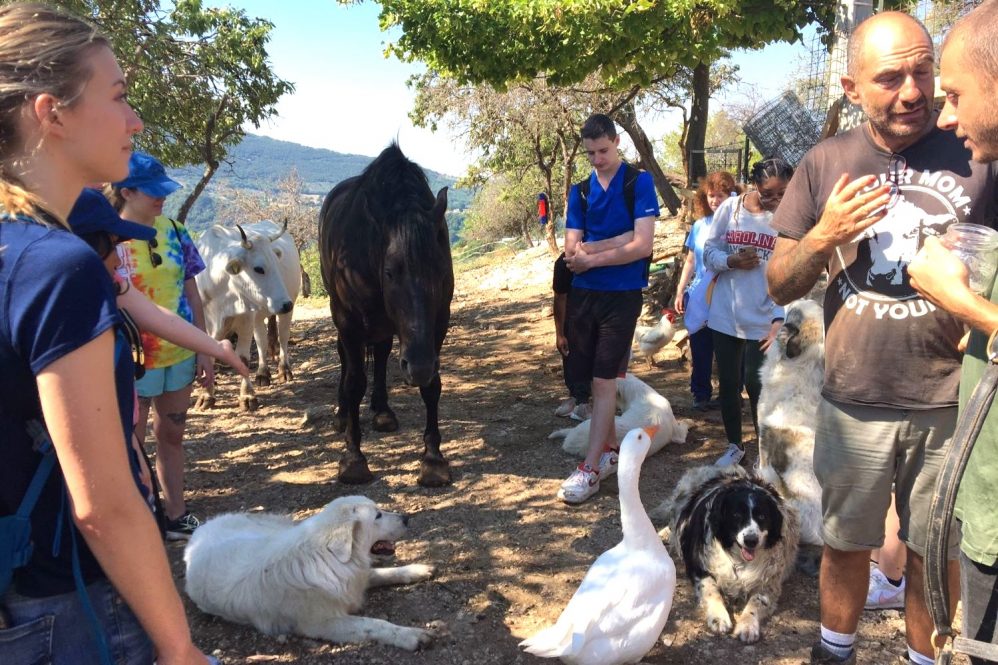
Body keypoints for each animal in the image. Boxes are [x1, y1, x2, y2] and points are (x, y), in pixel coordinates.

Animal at [183, 496, 438, 652]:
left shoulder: (355, 579)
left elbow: (383, 573)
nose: (406, 518)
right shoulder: (323, 623)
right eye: (377, 516)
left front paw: (416, 569)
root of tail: (201, 529)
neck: (327, 557)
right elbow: (374, 624)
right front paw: (409, 636)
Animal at [194, 219, 300, 410]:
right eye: (258, 268)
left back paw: (284, 370)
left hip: (285, 309)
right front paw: (206, 395)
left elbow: (242, 358)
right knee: (262, 341)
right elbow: (209, 357)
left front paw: (247, 396)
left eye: (276, 262)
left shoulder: (245, 321)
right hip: (258, 316)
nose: (285, 304)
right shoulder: (206, 324)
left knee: (283, 337)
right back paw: (263, 373)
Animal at [318, 144, 456, 488]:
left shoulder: (438, 322)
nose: (417, 366)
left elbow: (431, 386)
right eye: (390, 272)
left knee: (380, 355)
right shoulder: (349, 322)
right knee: (347, 360)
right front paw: (353, 458)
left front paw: (433, 459)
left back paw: (382, 411)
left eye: (440, 272)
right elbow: (354, 382)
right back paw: (342, 414)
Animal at [552, 370, 692, 460]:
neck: (643, 395)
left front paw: (689, 421)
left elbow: (685, 423)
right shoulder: (678, 434)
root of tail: (570, 441)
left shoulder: (679, 435)